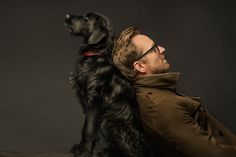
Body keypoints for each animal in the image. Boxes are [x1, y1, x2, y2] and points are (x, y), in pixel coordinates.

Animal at [64, 12, 159, 157]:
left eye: (86, 19)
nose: (67, 16)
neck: (97, 55)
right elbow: (84, 129)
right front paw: (80, 148)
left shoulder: (94, 101)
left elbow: (88, 130)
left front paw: (85, 152)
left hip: (109, 121)